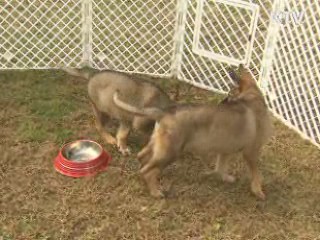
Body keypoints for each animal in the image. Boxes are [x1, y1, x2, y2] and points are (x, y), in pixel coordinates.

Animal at [114, 65, 272, 199]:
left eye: (229, 95)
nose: (221, 104)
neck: (251, 97)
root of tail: (163, 113)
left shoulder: (225, 151)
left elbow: (221, 167)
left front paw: (226, 178)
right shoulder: (251, 152)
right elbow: (257, 174)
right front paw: (258, 191)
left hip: (158, 144)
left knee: (142, 157)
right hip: (170, 152)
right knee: (146, 171)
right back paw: (156, 192)